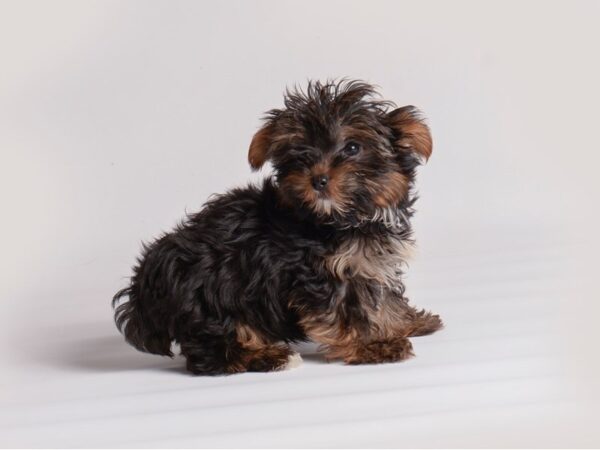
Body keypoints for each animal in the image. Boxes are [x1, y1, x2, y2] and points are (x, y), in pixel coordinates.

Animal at [113, 79, 440, 374]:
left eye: (352, 147)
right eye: (300, 152)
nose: (318, 179)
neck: (345, 220)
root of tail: (144, 291)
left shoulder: (367, 264)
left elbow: (383, 299)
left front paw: (405, 322)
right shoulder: (317, 275)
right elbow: (341, 314)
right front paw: (372, 345)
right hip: (210, 301)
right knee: (212, 354)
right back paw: (271, 357)